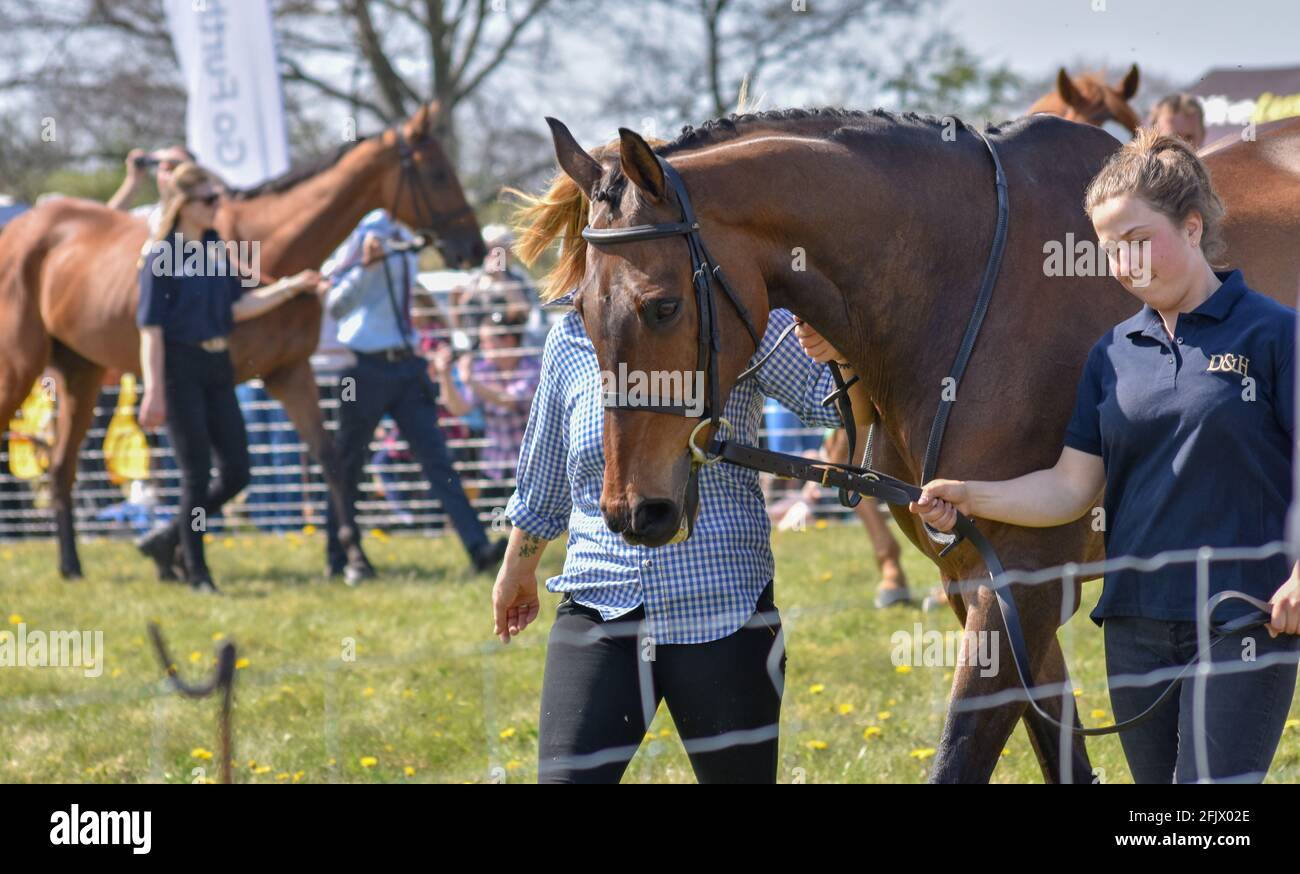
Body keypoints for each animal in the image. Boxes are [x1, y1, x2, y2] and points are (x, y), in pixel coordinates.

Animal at [0, 100, 486, 580]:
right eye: (438, 174)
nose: (475, 249)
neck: (269, 249)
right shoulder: (220, 380)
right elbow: (225, 477)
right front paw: (168, 550)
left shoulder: (289, 373)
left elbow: (325, 459)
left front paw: (356, 558)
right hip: (19, 367)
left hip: (80, 372)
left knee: (60, 469)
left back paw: (71, 565)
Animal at [525, 109, 1300, 785]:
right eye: (580, 311)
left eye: (662, 306)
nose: (633, 511)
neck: (963, 287)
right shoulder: (977, 577)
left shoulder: (1026, 573)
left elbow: (960, 755)